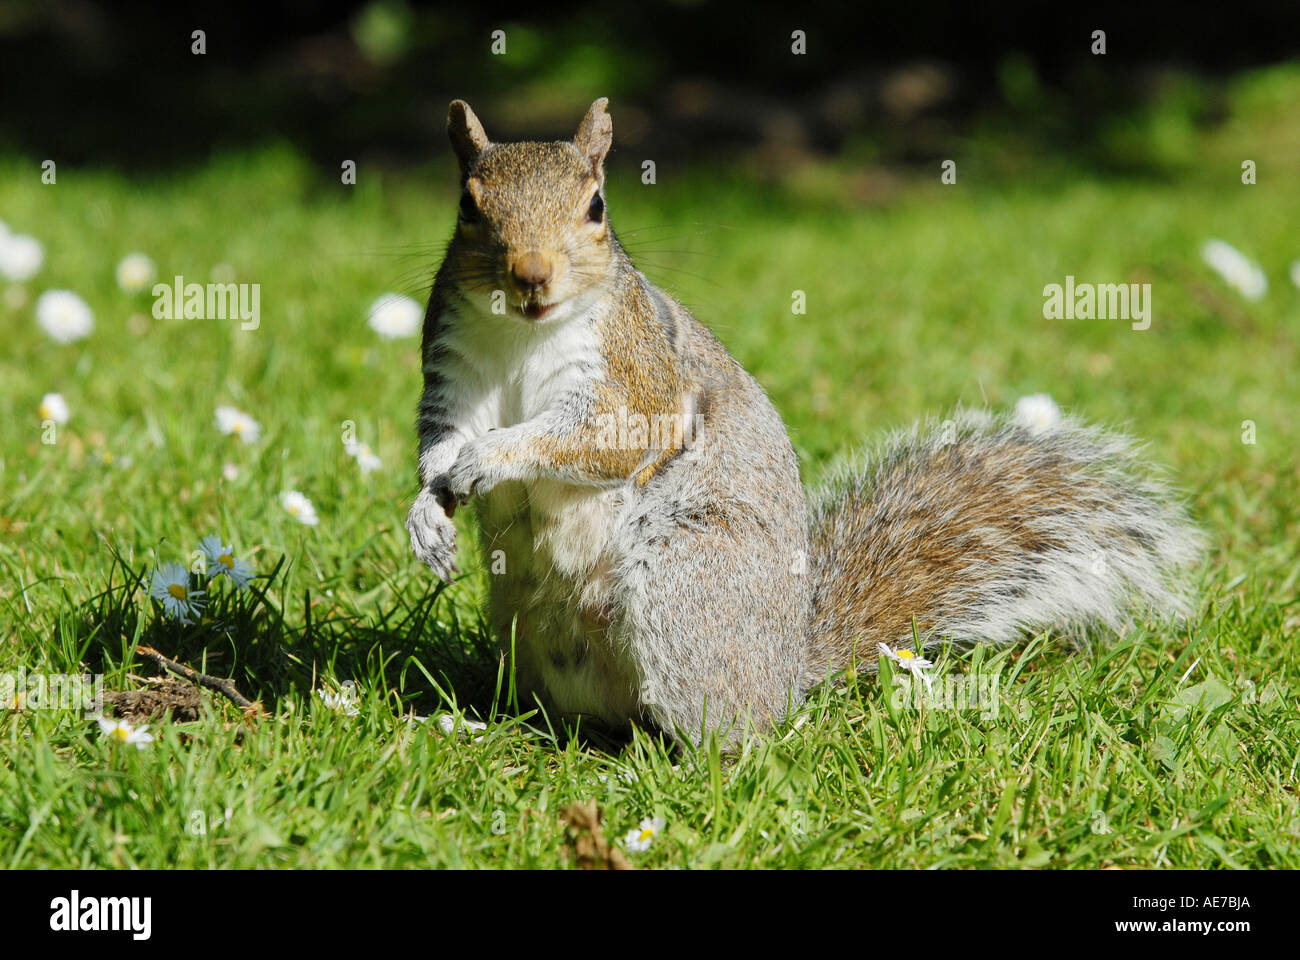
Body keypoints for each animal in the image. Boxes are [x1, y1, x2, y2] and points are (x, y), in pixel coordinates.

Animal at [406, 98, 1204, 747]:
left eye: (597, 207)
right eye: (467, 206)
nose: (531, 276)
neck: (523, 335)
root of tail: (787, 668)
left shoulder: (636, 375)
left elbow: (596, 438)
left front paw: (488, 459)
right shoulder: (454, 372)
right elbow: (440, 440)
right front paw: (428, 514)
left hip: (686, 587)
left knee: (727, 737)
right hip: (531, 631)